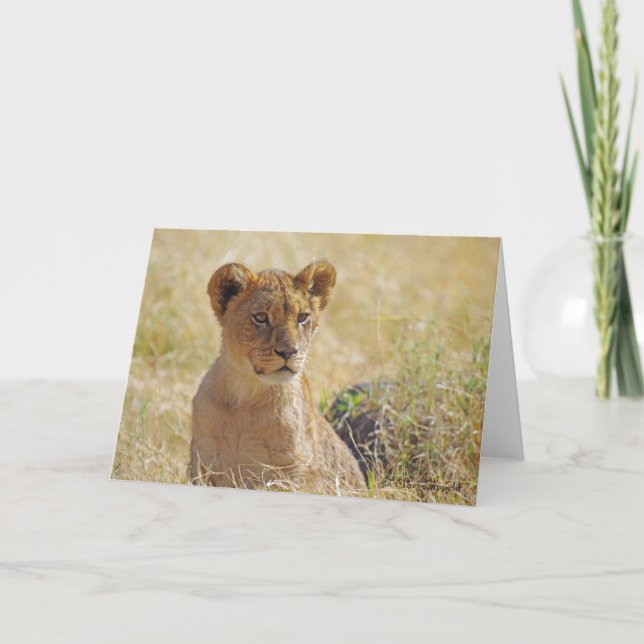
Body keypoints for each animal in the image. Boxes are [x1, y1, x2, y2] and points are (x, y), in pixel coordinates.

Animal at [190, 260, 365, 495]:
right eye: (261, 317)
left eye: (302, 317)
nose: (288, 352)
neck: (247, 395)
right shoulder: (203, 461)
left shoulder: (292, 474)